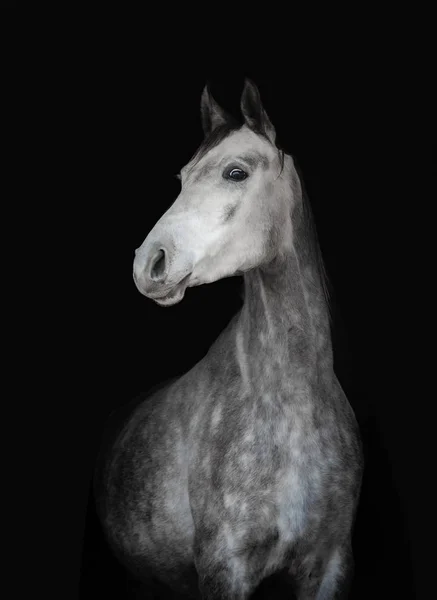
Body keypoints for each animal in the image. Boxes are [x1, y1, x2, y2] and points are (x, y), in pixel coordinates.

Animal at [95, 79, 362, 600]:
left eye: (235, 172)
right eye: (181, 178)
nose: (149, 263)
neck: (290, 406)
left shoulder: (330, 563)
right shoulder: (225, 566)